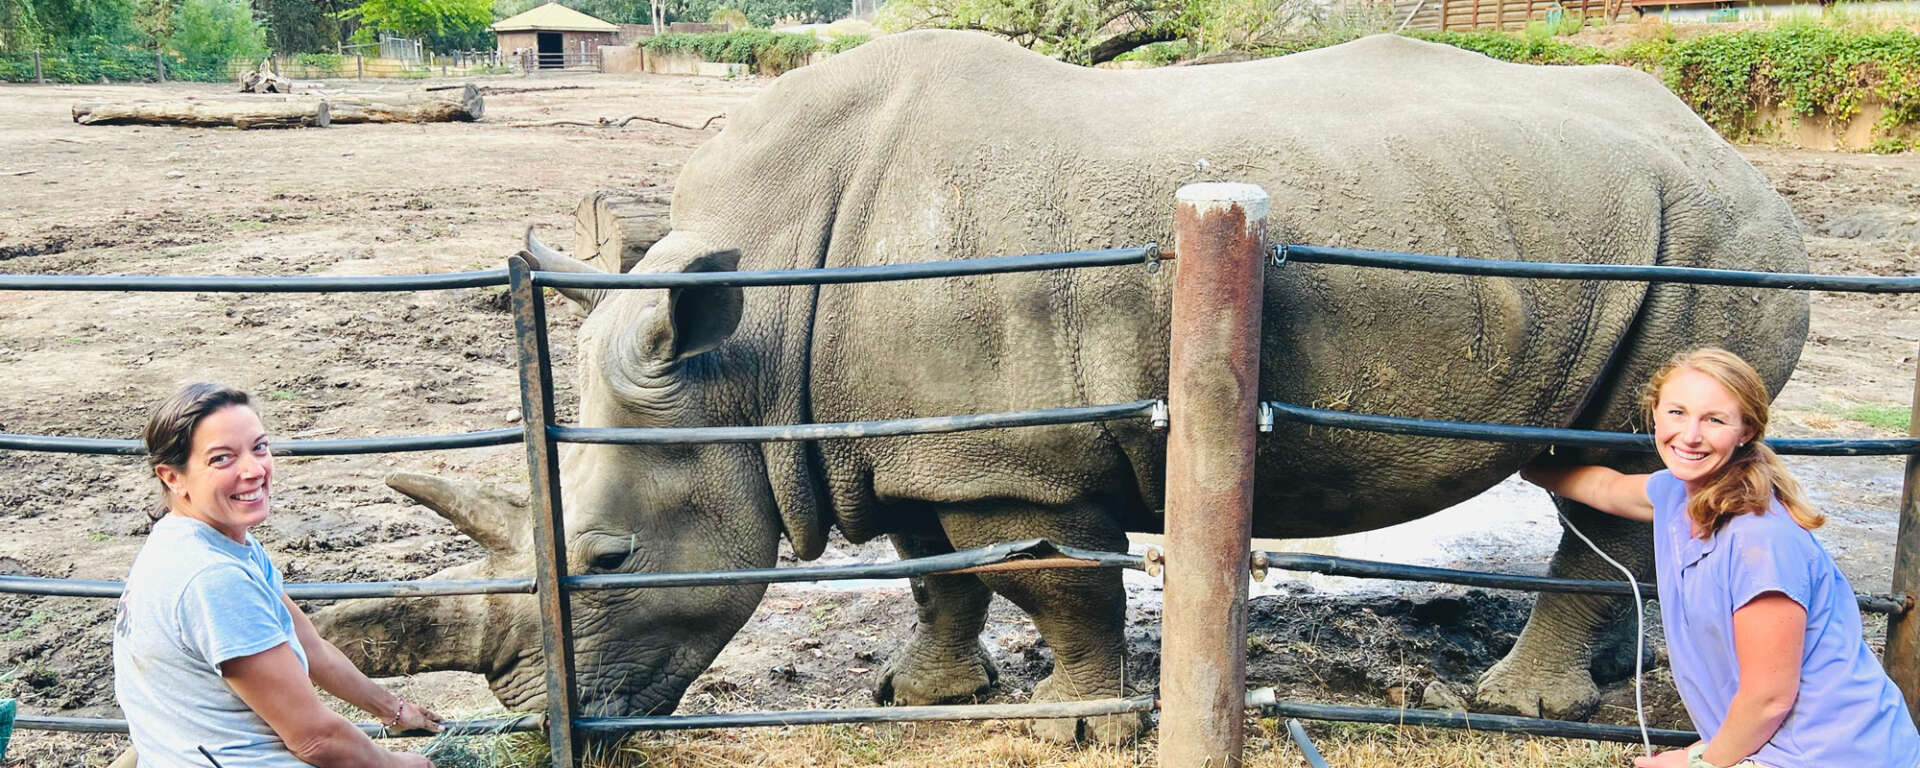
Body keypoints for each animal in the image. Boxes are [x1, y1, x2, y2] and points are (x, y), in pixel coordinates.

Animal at [312, 31, 1808, 742]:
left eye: (610, 556)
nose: (529, 716)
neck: (754, 347)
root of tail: (1729, 147)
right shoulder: (917, 435)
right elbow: (935, 570)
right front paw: (918, 697)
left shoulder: (1014, 458)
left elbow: (1052, 577)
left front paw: (1076, 721)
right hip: (1624, 228)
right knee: (1610, 475)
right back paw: (1609, 672)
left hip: (1708, 244)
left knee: (1622, 465)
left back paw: (1519, 709)